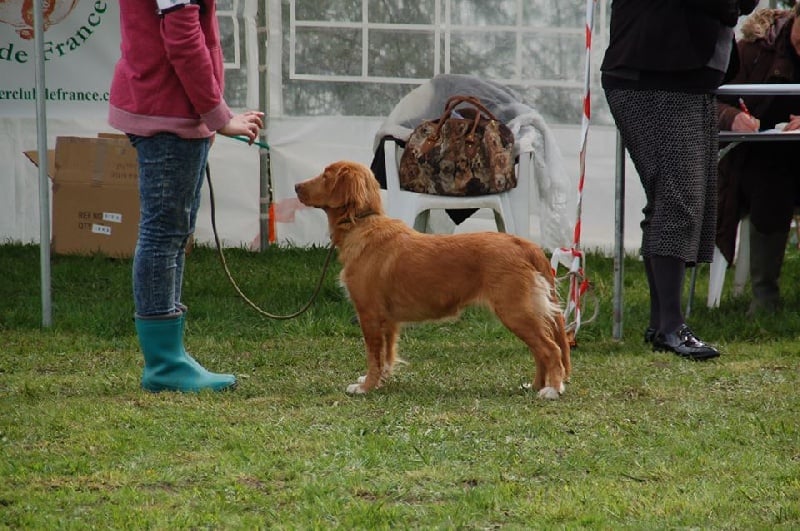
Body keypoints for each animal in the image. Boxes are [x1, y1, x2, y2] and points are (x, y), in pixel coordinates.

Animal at [296, 161, 572, 400]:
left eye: (326, 176)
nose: (296, 186)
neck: (361, 223)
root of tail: (523, 243)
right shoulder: (388, 321)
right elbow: (386, 355)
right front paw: (379, 381)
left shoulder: (369, 315)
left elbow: (373, 356)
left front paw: (366, 386)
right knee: (540, 351)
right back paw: (536, 385)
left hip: (516, 311)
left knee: (551, 349)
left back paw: (552, 389)